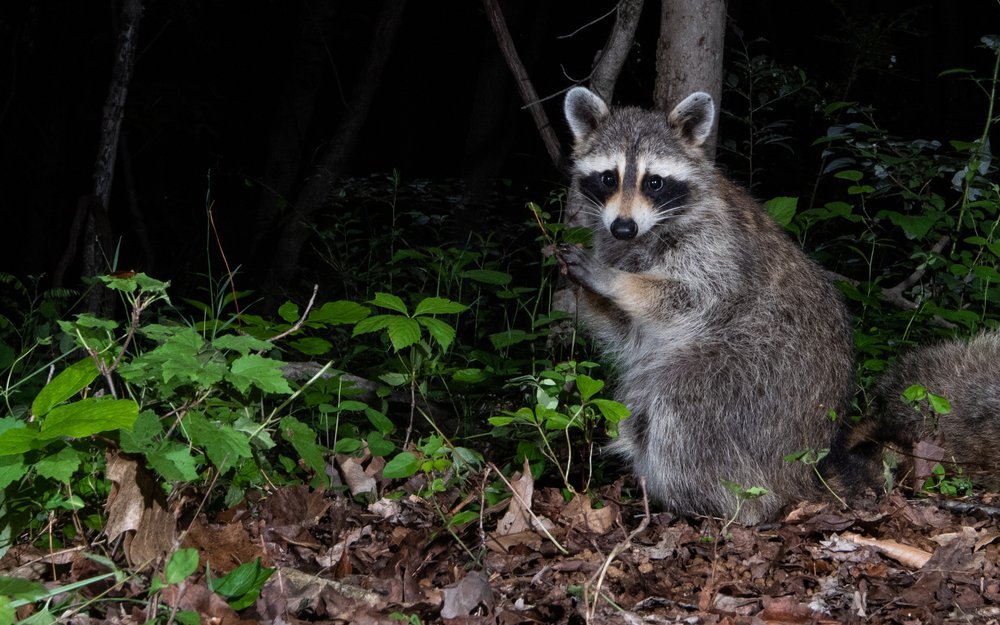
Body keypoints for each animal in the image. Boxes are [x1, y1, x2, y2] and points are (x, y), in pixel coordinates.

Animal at [560, 88, 856, 524]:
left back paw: (706, 502)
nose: (623, 227)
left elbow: (693, 297)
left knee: (682, 406)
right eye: (608, 177)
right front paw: (582, 291)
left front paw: (616, 282)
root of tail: (806, 465)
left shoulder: (717, 246)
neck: (645, 234)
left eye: (654, 182)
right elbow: (627, 329)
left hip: (761, 373)